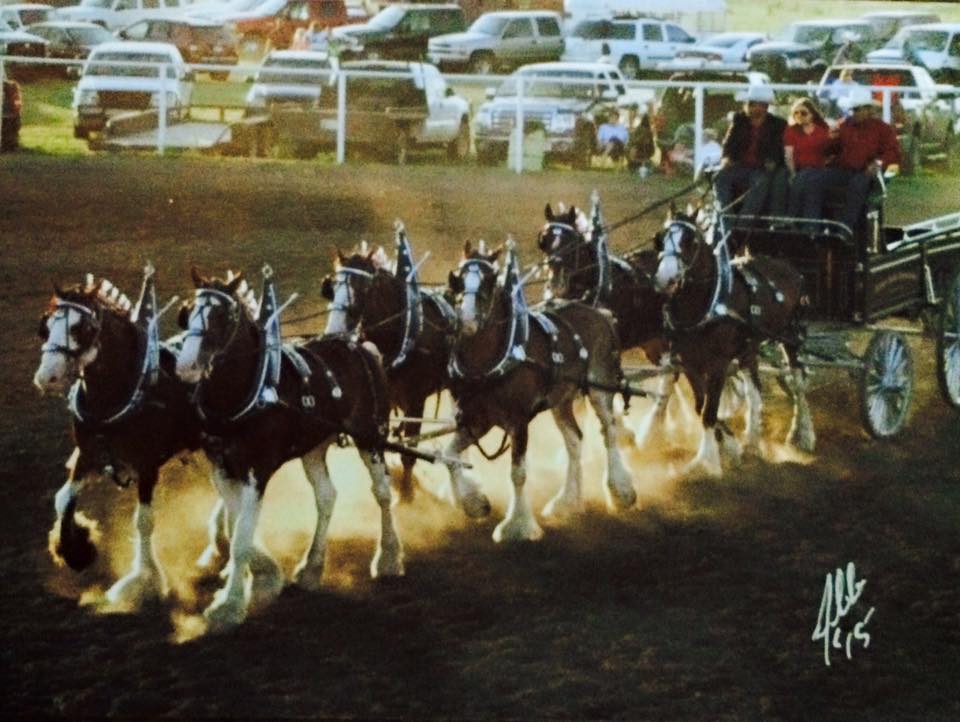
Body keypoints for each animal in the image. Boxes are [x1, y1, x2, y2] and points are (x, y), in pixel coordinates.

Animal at [34, 268, 216, 608]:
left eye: (79, 327)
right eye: (46, 325)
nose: (46, 376)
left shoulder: (147, 466)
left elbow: (143, 520)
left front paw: (144, 580)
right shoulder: (89, 454)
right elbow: (63, 498)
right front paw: (74, 549)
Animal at [176, 268, 402, 628]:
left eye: (223, 316)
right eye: (188, 312)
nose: (186, 366)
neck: (248, 391)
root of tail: (361, 347)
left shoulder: (257, 469)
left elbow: (241, 538)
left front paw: (230, 604)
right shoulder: (222, 469)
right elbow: (236, 527)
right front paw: (264, 577)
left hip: (371, 437)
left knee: (382, 492)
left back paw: (389, 558)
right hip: (314, 446)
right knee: (326, 496)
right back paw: (311, 567)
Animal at [320, 224, 474, 506]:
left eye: (362, 288)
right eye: (330, 287)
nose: (334, 331)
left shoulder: (415, 400)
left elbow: (409, 449)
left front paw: (407, 495)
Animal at [442, 242, 636, 540]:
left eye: (490, 280)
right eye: (458, 279)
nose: (466, 320)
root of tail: (600, 314)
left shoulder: (519, 420)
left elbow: (518, 473)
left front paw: (517, 525)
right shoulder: (476, 420)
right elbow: (449, 456)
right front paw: (475, 504)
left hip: (599, 387)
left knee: (609, 432)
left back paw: (620, 490)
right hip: (561, 400)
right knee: (574, 440)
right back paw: (567, 502)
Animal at [648, 207, 812, 478]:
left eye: (690, 241)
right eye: (660, 239)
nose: (665, 279)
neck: (708, 305)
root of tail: (788, 266)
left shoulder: (718, 364)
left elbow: (708, 411)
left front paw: (708, 464)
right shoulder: (689, 363)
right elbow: (701, 406)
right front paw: (731, 448)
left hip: (790, 336)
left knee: (798, 382)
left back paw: (803, 435)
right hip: (749, 348)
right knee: (755, 392)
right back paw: (752, 444)